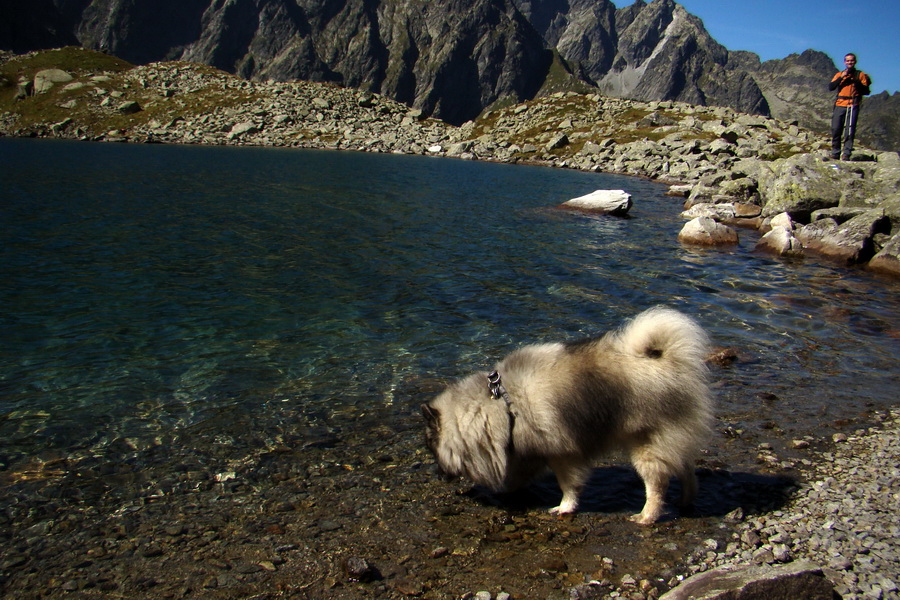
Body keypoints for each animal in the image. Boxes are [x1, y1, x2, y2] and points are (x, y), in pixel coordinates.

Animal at [426, 308, 712, 524]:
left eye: (432, 449)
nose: (438, 475)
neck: (505, 402)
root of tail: (670, 362)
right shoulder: (525, 450)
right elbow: (517, 474)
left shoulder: (563, 454)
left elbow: (568, 485)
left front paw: (565, 506)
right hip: (670, 441)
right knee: (687, 471)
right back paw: (685, 501)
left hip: (648, 445)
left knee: (657, 483)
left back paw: (646, 516)